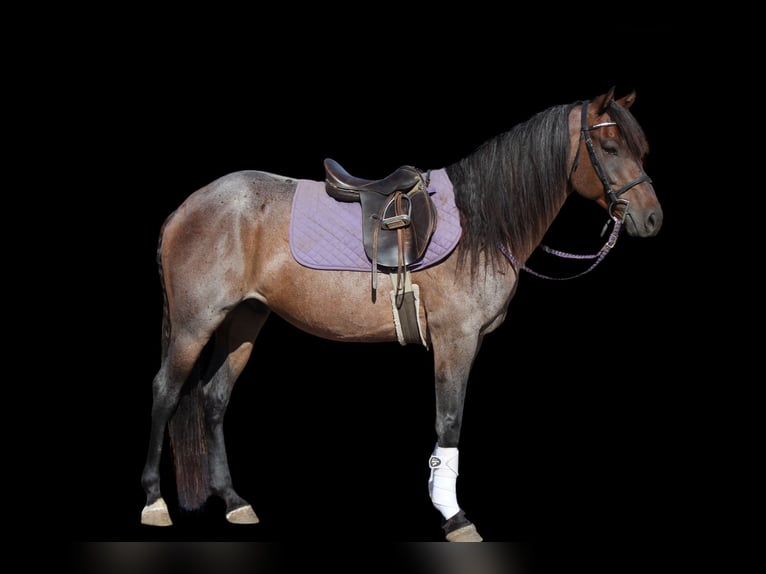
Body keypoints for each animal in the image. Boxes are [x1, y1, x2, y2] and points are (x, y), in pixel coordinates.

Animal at [140, 87, 662, 541]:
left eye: (640, 148)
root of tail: (185, 208)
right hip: (195, 323)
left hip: (245, 319)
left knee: (214, 398)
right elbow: (449, 422)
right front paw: (454, 517)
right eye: (609, 146)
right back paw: (154, 501)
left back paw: (233, 501)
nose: (652, 218)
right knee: (165, 390)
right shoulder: (455, 339)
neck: (480, 222)